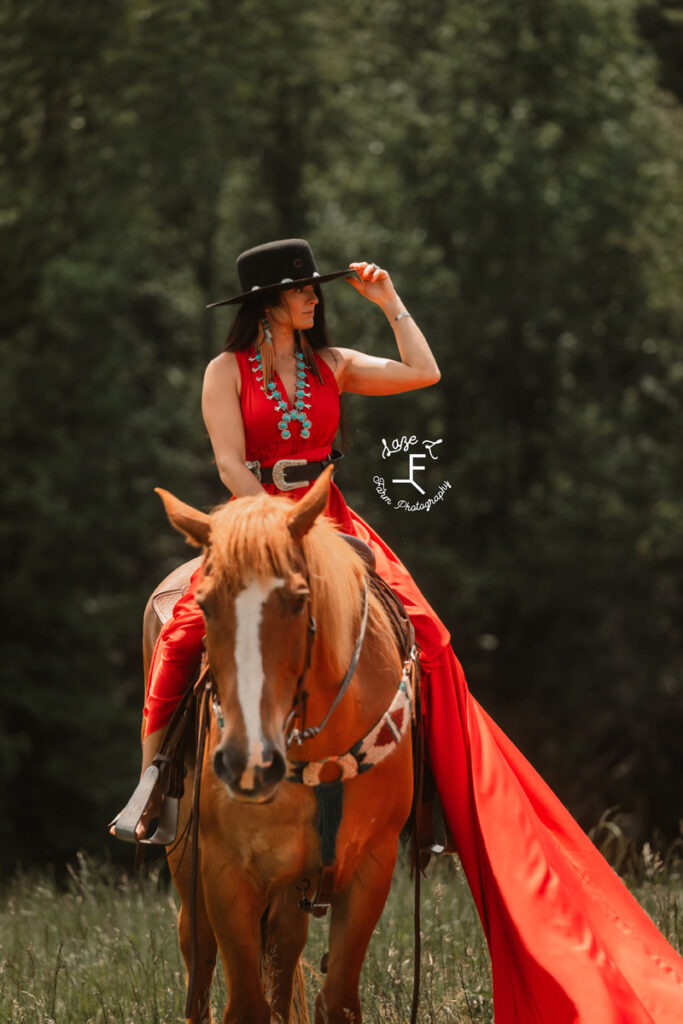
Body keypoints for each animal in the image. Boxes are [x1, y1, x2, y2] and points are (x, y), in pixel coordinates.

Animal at [152, 468, 413, 1024]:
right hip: (187, 861)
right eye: (205, 605)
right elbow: (244, 1004)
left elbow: (336, 1001)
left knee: (283, 947)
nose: (247, 762)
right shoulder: (224, 871)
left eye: (297, 599)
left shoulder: (372, 866)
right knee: (197, 952)